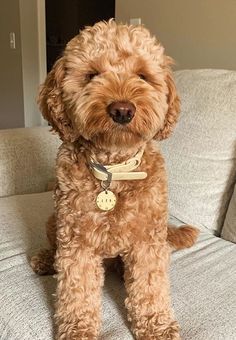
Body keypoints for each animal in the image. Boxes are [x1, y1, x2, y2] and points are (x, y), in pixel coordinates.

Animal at [30, 19, 198, 338]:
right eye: (92, 75)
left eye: (143, 76)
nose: (122, 110)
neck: (114, 170)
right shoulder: (77, 241)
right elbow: (76, 289)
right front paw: (77, 329)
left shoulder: (147, 241)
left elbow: (150, 286)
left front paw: (156, 324)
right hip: (53, 221)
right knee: (55, 250)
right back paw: (46, 259)